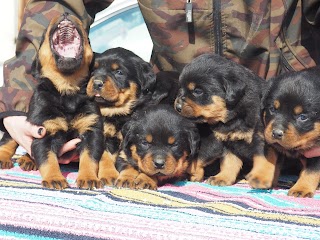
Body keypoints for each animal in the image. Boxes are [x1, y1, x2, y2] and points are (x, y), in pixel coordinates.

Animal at [0, 12, 104, 189]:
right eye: (43, 36)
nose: (66, 13)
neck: (67, 89)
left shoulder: (91, 130)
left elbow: (89, 158)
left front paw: (88, 177)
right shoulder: (44, 131)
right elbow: (47, 159)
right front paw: (54, 178)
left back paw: (28, 160)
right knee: (8, 139)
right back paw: (8, 158)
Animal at [86, 47, 158, 186]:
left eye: (119, 72)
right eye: (93, 71)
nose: (96, 83)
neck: (117, 113)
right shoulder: (103, 136)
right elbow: (105, 157)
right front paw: (108, 174)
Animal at [174, 53, 276, 188]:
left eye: (197, 91)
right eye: (180, 89)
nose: (177, 107)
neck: (233, 116)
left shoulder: (262, 139)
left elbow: (263, 159)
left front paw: (260, 178)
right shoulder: (227, 142)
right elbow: (229, 163)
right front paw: (222, 178)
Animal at [262, 67, 320, 197]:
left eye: (303, 117)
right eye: (272, 109)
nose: (276, 133)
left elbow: (312, 170)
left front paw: (301, 188)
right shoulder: (276, 147)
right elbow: (274, 162)